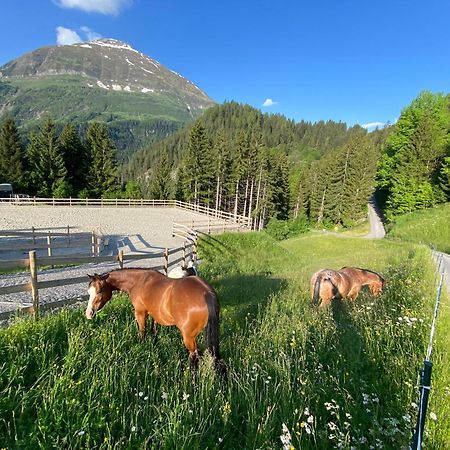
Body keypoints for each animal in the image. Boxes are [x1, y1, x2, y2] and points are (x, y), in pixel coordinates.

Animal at [85, 268, 222, 370]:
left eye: (99, 291)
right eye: (89, 292)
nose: (88, 313)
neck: (139, 281)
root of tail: (206, 293)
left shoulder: (140, 313)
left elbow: (142, 332)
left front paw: (141, 347)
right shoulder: (155, 314)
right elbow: (154, 331)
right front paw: (154, 345)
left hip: (188, 338)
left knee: (194, 357)